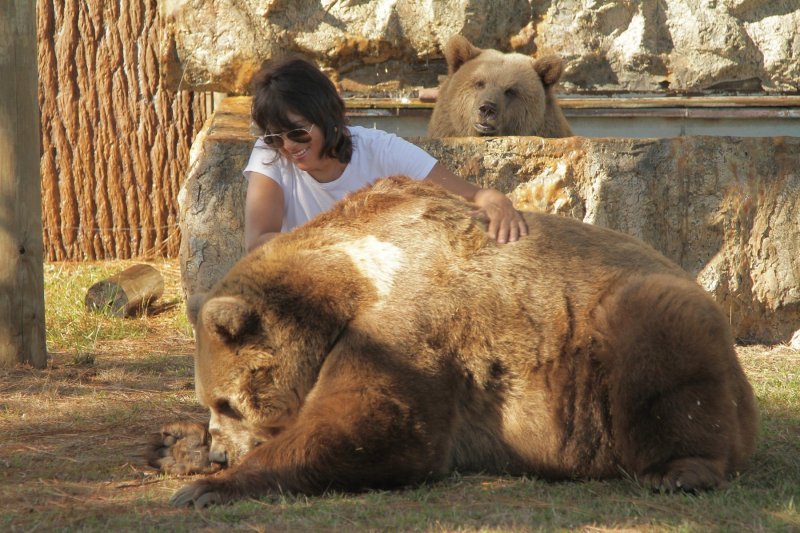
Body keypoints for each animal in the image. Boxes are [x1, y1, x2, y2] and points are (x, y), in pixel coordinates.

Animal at [150, 176, 756, 508]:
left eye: (227, 402)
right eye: (211, 403)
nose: (222, 450)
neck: (349, 283)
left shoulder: (408, 325)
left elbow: (376, 424)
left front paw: (208, 488)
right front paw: (178, 449)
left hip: (626, 326)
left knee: (665, 348)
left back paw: (680, 472)